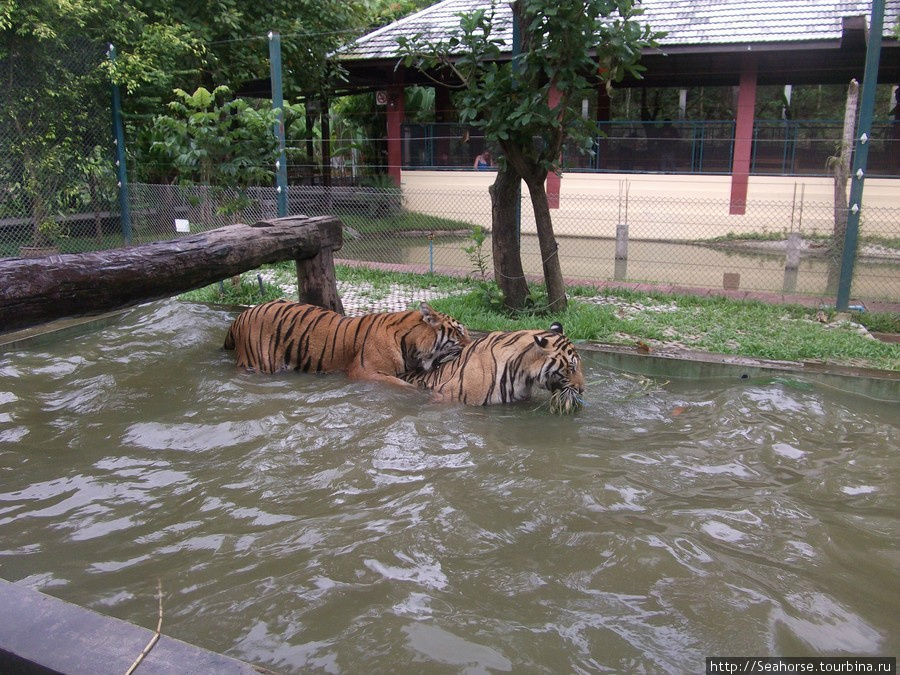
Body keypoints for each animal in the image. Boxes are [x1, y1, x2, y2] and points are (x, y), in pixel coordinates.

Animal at [224, 300, 472, 388]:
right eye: (460, 332)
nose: (472, 344)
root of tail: (239, 317)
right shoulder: (363, 372)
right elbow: (405, 386)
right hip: (260, 362)